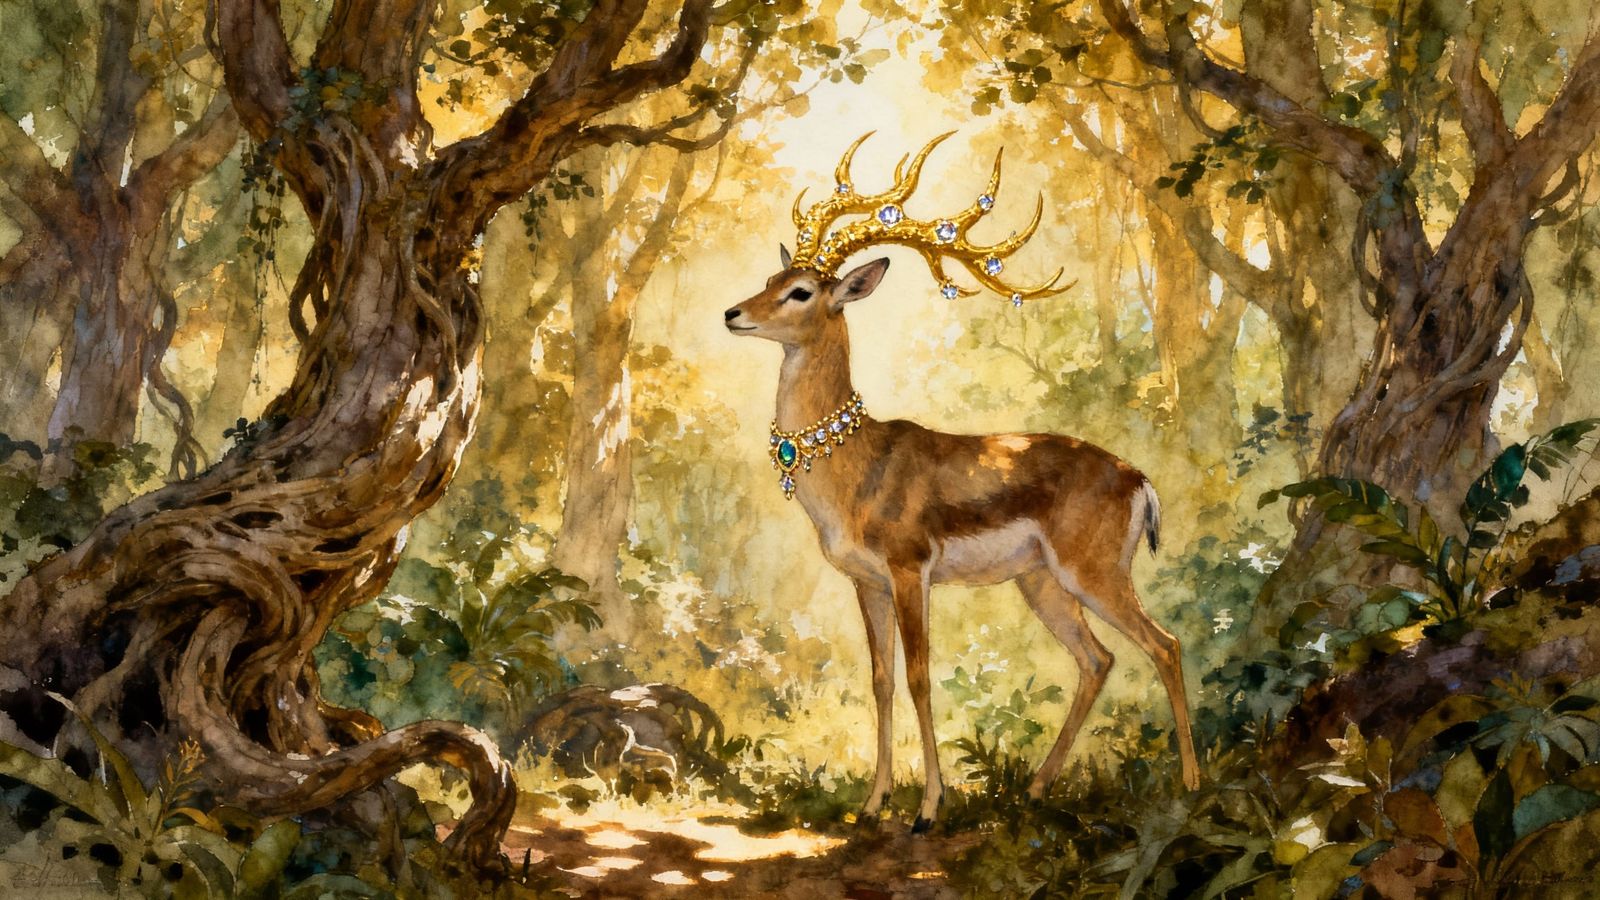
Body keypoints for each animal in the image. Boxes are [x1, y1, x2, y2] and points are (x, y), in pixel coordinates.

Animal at [724, 133, 1200, 830]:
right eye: (771, 279)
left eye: (803, 291)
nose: (733, 313)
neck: (854, 466)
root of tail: (1138, 478)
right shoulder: (866, 582)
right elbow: (881, 680)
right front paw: (872, 805)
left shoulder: (908, 571)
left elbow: (920, 676)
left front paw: (928, 808)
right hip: (1042, 584)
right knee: (1098, 659)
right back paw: (1036, 789)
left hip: (1094, 575)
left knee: (1164, 646)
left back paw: (1192, 784)